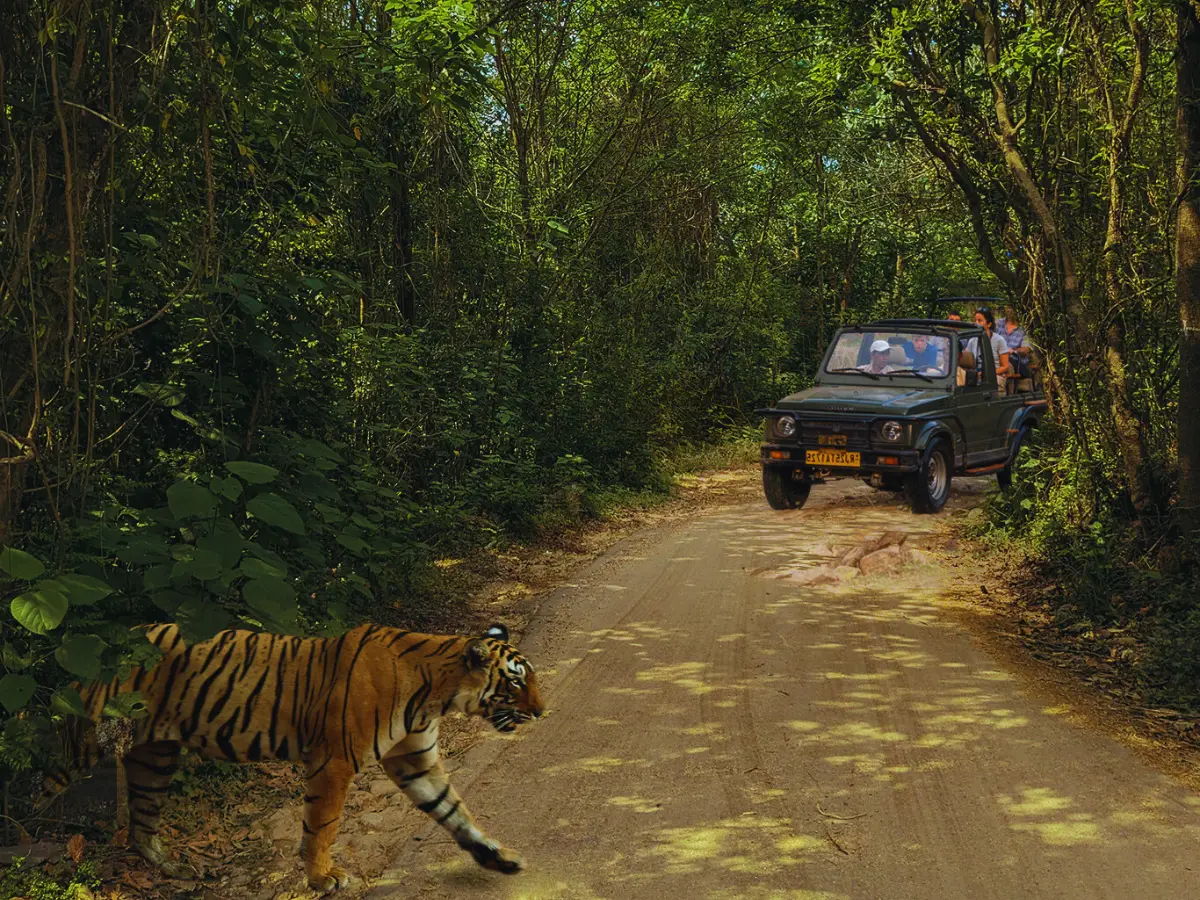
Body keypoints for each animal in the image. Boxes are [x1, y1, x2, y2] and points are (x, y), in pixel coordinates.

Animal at [41, 621, 544, 892]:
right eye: (516, 681)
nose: (542, 712)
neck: (438, 694)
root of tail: (108, 637)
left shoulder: (416, 761)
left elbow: (455, 811)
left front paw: (498, 857)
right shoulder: (335, 760)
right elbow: (322, 826)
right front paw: (323, 878)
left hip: (155, 757)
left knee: (141, 824)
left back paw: (176, 869)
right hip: (84, 741)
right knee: (44, 785)